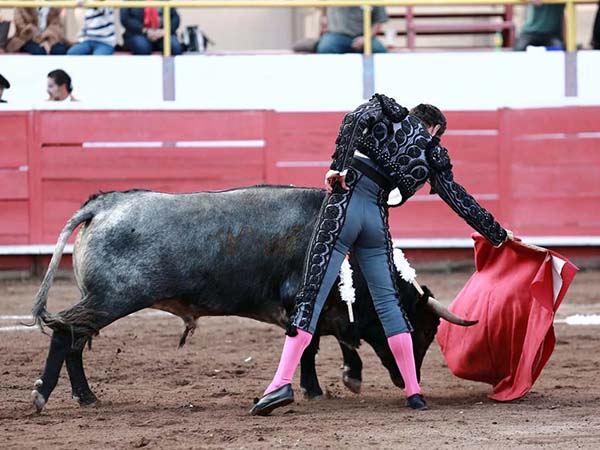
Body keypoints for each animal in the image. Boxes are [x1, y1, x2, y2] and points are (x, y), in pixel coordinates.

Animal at [31, 185, 474, 414]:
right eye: (421, 331)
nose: (407, 379)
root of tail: (104, 203)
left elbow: (328, 340)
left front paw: (342, 377)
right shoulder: (303, 301)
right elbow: (311, 344)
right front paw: (322, 385)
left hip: (103, 300)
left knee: (74, 339)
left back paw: (86, 396)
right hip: (112, 297)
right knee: (66, 333)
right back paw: (42, 395)